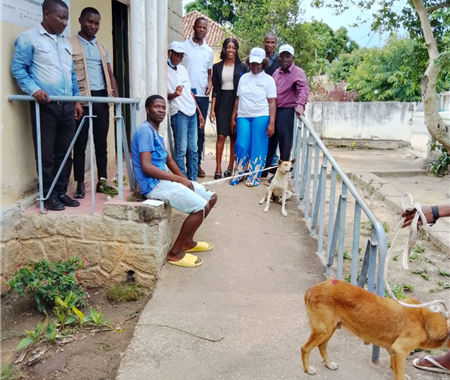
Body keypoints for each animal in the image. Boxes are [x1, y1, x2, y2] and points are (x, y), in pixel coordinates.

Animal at [300, 280, 448, 380]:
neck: (424, 320)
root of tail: (312, 289)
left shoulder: (394, 350)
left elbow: (395, 368)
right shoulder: (400, 350)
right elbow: (398, 373)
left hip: (331, 329)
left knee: (322, 346)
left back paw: (329, 364)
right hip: (323, 331)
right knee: (305, 348)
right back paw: (308, 369)